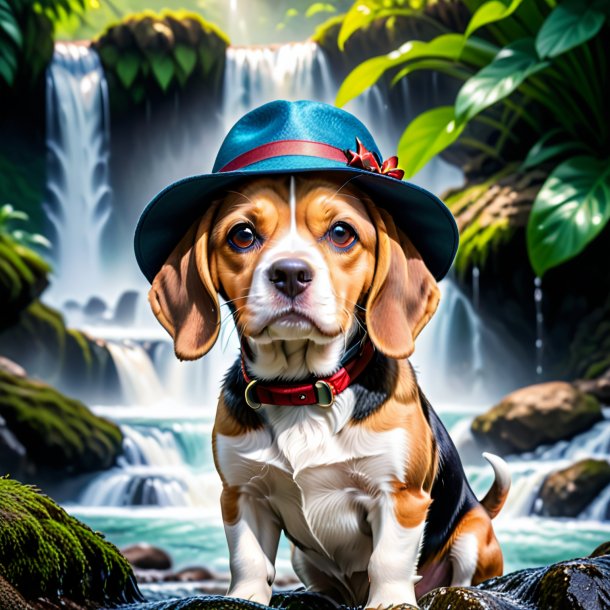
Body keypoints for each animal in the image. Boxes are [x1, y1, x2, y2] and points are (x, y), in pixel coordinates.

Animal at [146, 173, 508, 604]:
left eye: (341, 233)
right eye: (243, 235)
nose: (289, 273)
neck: (302, 389)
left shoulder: (400, 495)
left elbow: (388, 559)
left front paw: (389, 602)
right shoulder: (241, 494)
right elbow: (248, 560)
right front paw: (243, 598)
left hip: (472, 537)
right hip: (303, 559)